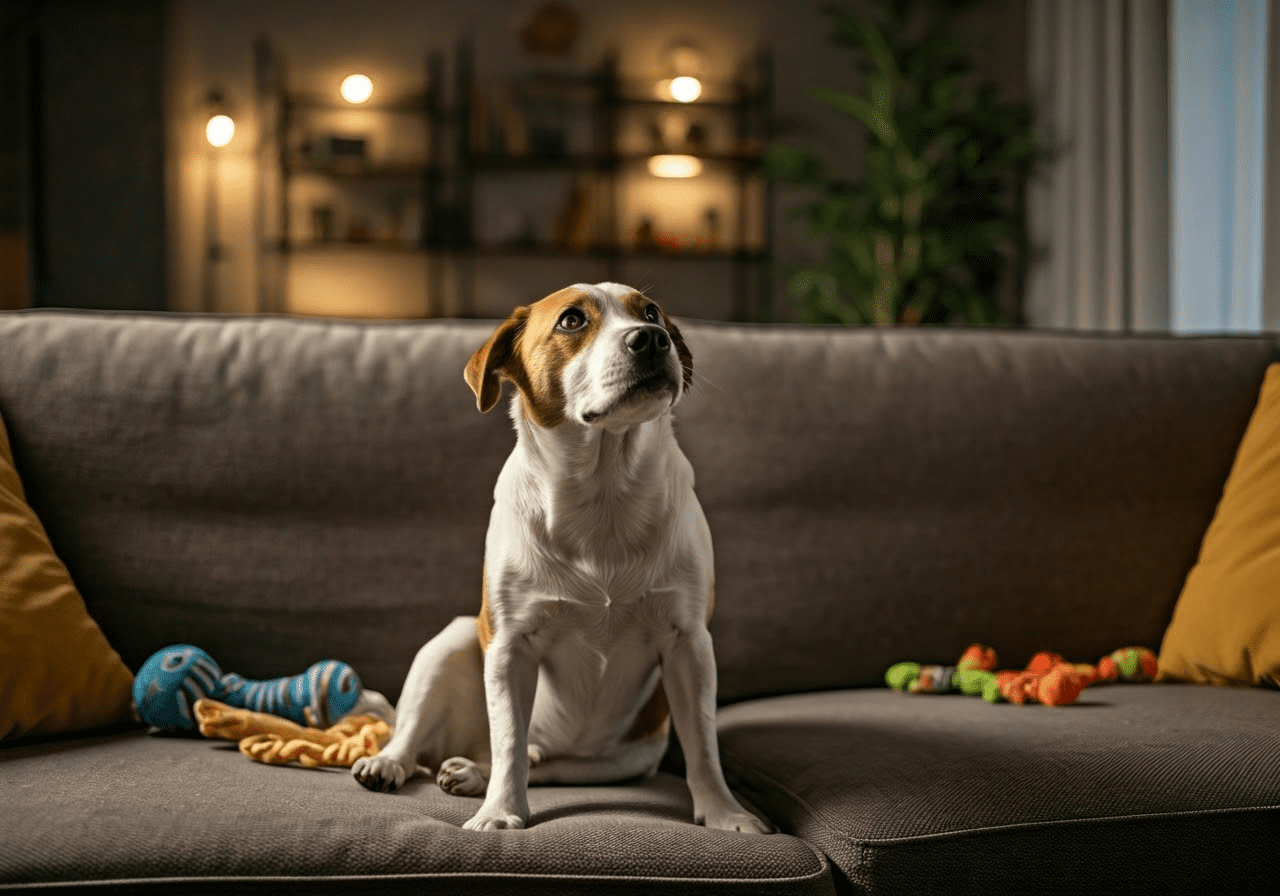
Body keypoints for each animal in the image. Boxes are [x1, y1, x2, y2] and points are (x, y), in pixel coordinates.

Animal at [350, 282, 768, 834]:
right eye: (572, 321)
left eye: (651, 312)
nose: (652, 339)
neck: (603, 495)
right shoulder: (509, 645)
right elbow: (509, 741)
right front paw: (500, 813)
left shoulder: (689, 644)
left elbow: (703, 741)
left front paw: (725, 813)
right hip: (452, 641)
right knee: (431, 734)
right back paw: (395, 762)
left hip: (619, 759)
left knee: (539, 758)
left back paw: (471, 772)